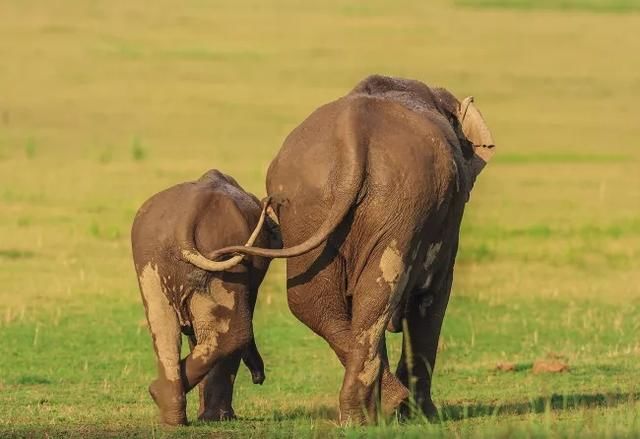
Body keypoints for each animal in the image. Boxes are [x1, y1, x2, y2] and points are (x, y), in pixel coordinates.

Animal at [131, 169, 280, 426]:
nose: (259, 378)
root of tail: (187, 219)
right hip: (224, 259)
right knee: (234, 333)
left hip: (149, 259)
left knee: (165, 329)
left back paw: (168, 411)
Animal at [210, 75, 496, 426]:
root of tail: (352, 137)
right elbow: (432, 296)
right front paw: (425, 416)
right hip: (397, 203)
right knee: (378, 293)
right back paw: (384, 407)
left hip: (308, 206)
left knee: (313, 302)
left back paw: (364, 414)